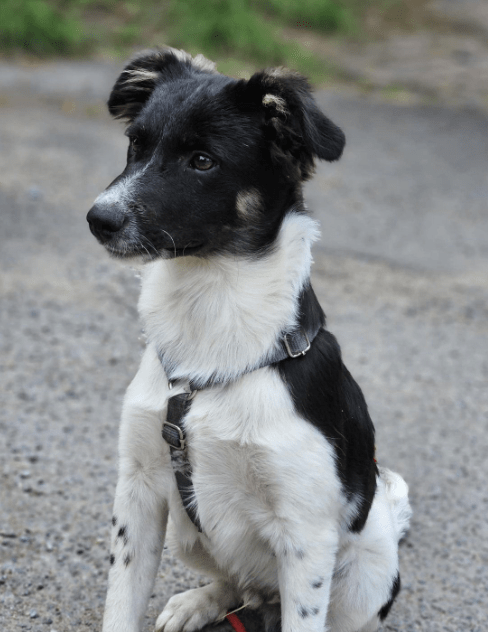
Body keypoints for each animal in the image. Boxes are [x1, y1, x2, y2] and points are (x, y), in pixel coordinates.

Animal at [87, 48, 412, 632]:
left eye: (202, 161)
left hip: (367, 569)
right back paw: (198, 602)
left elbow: (304, 617)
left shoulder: (306, 535)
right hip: (188, 533)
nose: (98, 218)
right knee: (236, 585)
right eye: (135, 145)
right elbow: (121, 605)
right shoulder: (139, 491)